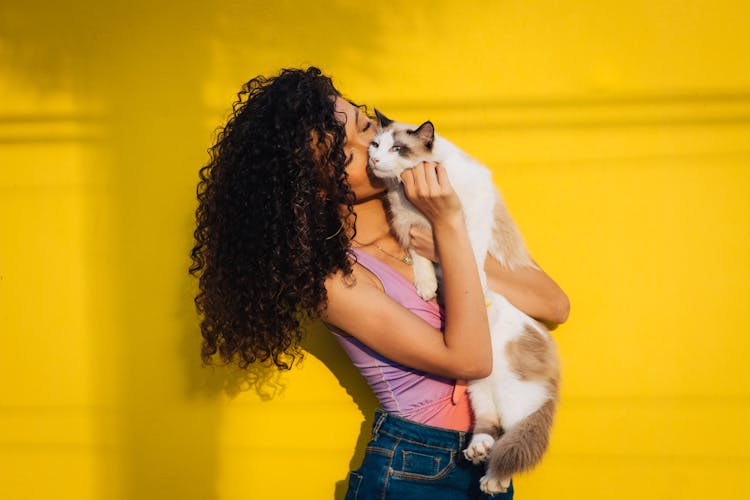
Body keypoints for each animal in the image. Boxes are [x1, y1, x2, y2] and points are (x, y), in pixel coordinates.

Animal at [368, 107, 560, 494]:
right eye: (375, 144)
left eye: (398, 148)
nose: (375, 160)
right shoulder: (410, 226)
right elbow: (422, 261)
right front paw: (427, 287)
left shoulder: (468, 213)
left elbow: (470, 252)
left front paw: (472, 283)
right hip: (479, 390)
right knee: (491, 428)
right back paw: (476, 452)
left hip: (517, 398)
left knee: (514, 437)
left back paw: (493, 481)